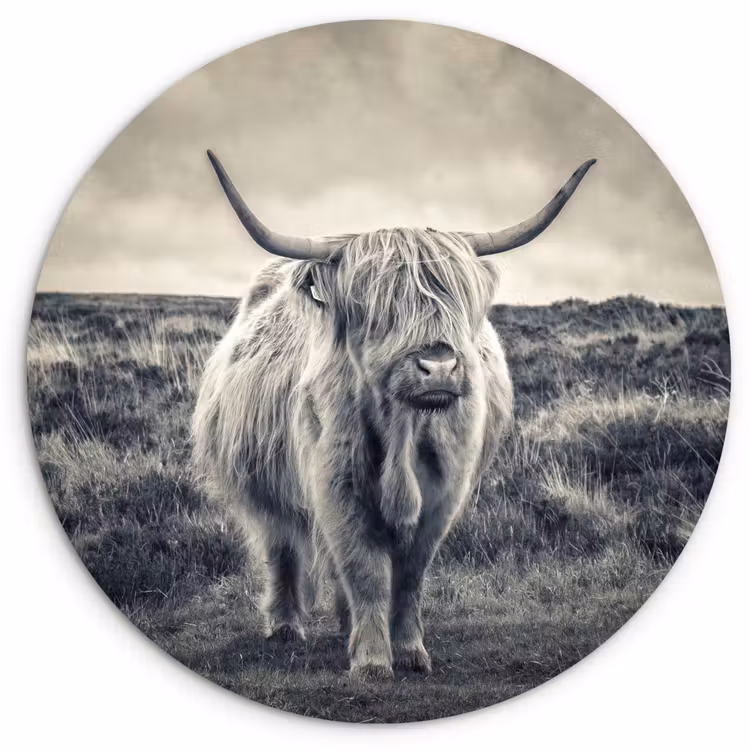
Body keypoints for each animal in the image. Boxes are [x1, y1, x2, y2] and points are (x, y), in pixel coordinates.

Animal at [192, 151, 596, 678]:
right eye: (376, 307)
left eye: (456, 300)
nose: (438, 366)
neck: (404, 430)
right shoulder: (337, 485)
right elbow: (363, 568)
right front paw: (371, 660)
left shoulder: (443, 493)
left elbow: (409, 575)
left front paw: (408, 650)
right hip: (262, 484)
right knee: (281, 546)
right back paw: (285, 625)